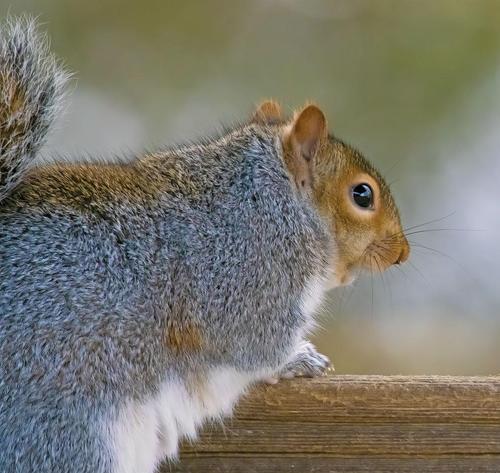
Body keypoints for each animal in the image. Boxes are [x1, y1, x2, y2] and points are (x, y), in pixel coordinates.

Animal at [0, 16, 408, 472]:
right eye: (362, 195)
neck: (271, 200)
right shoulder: (245, 281)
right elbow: (258, 347)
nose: (402, 253)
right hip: (68, 438)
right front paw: (301, 359)